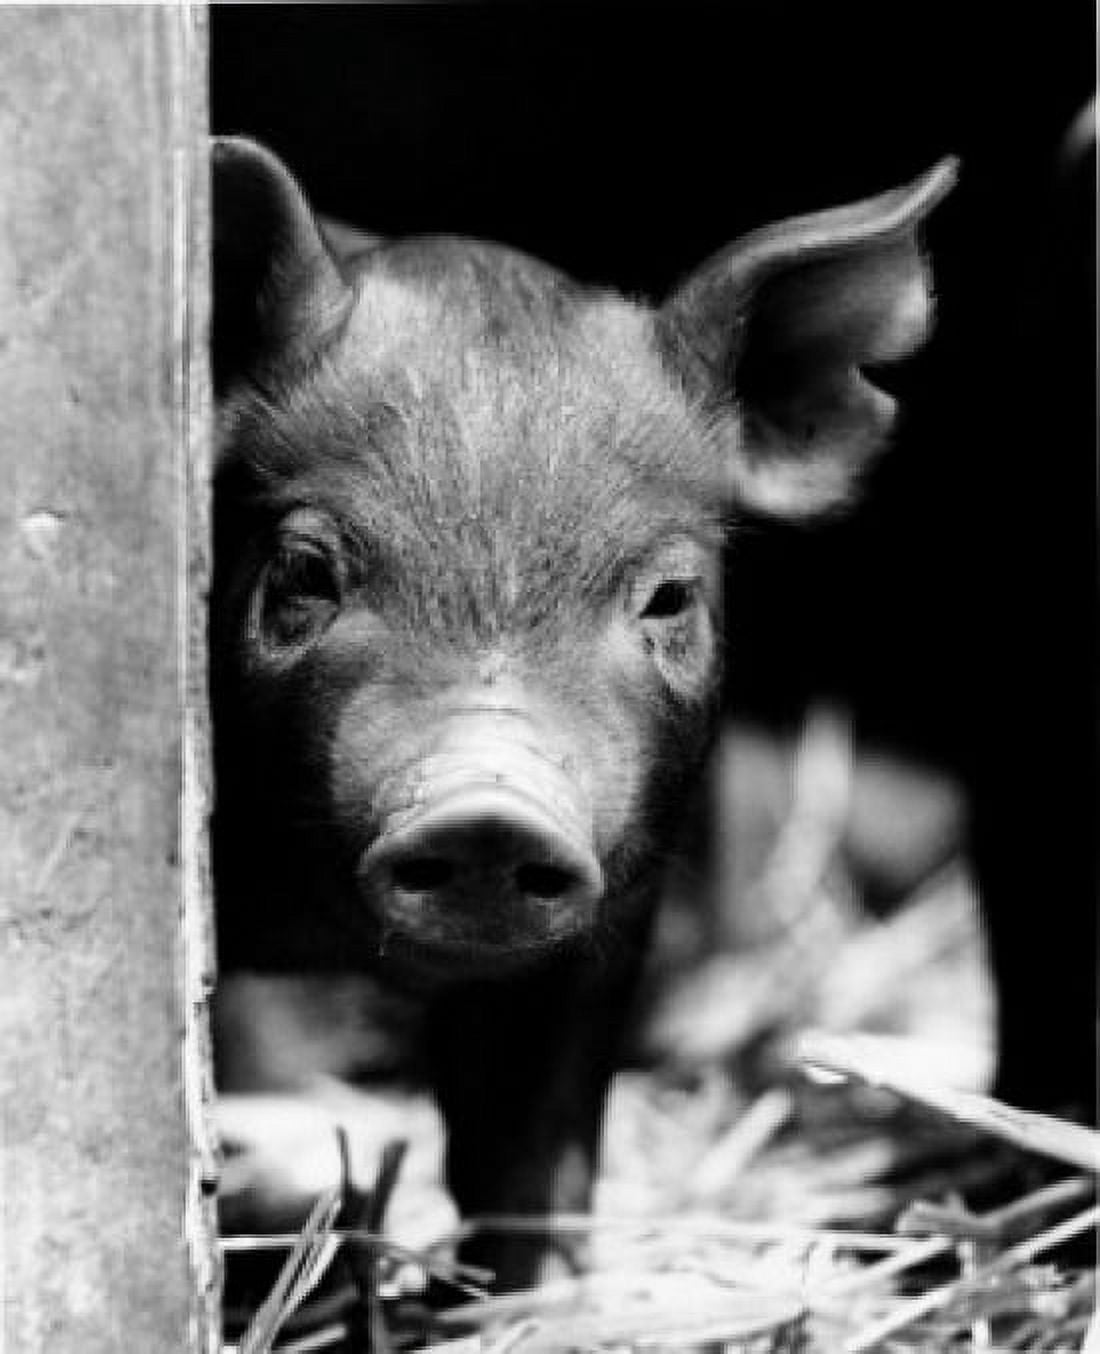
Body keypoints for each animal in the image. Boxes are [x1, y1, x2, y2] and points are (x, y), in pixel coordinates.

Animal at [210, 136, 957, 1288]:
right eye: (303, 571)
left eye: (669, 596)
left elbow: (528, 1138)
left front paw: (539, 1294)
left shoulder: (614, 915)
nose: (487, 807)